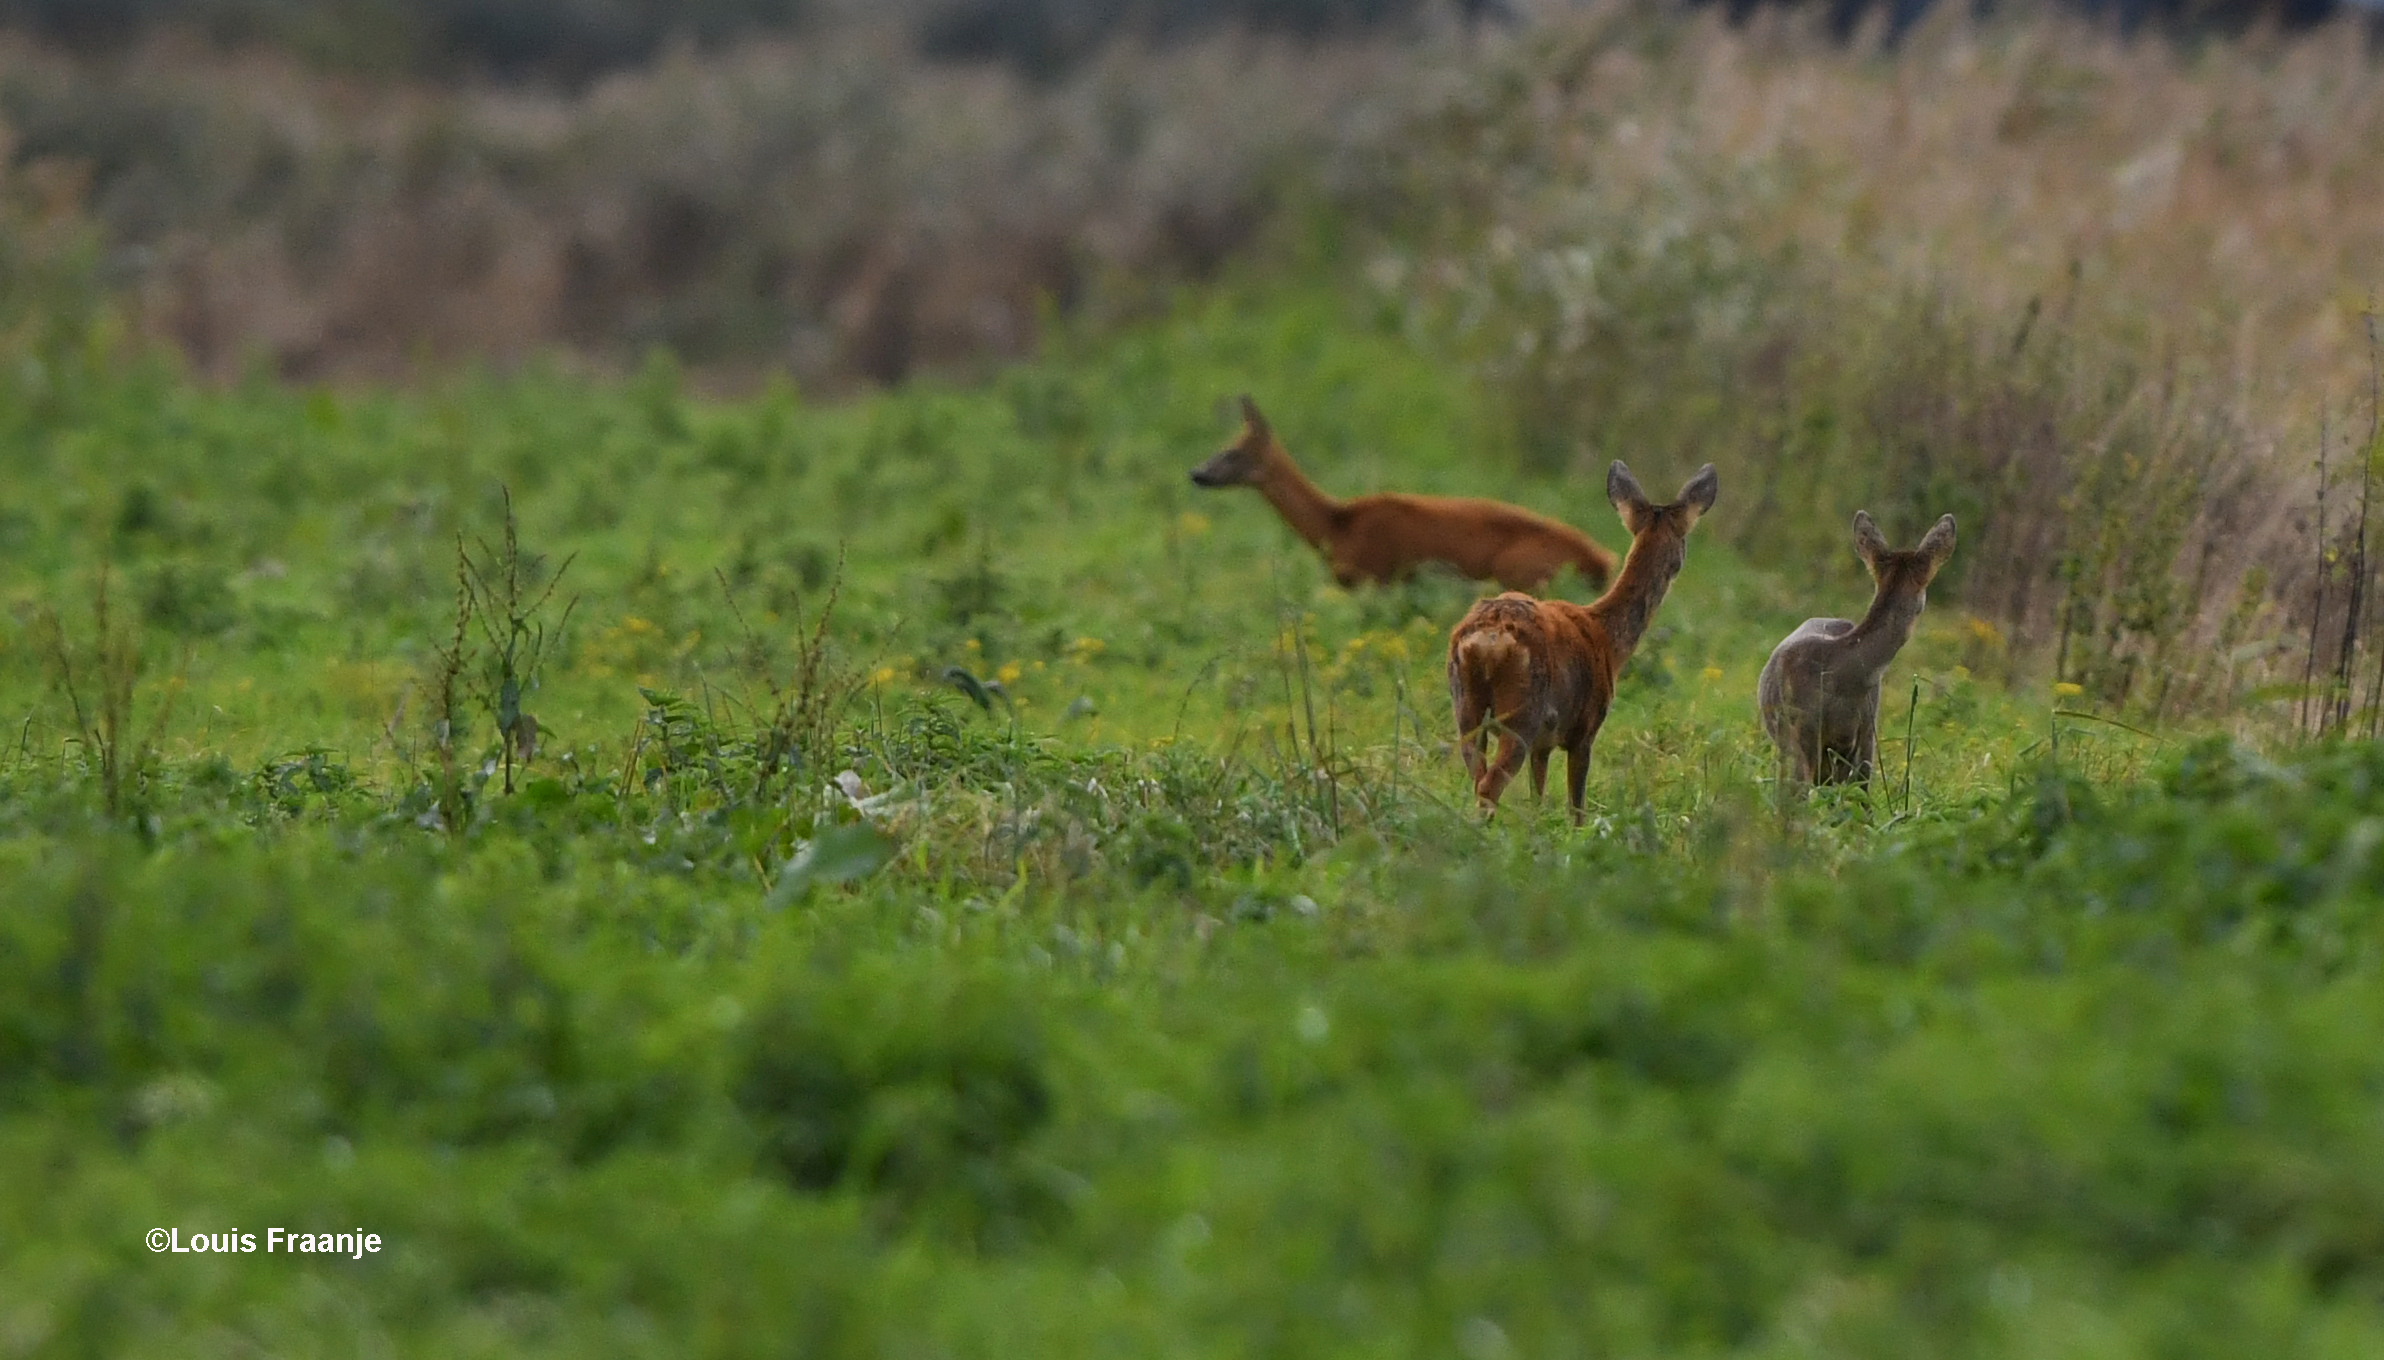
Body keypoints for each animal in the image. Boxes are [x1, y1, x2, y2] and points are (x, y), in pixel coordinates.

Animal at [1192, 388, 1621, 584]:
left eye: (1232, 453)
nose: (1196, 473)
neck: (1338, 525)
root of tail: (1601, 559)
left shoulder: (1377, 576)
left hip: (1522, 572)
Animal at [1430, 455, 1716, 820]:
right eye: (1684, 542)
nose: (1679, 565)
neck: (1608, 639)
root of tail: (1488, 639)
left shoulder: (1544, 743)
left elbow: (1537, 798)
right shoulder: (1584, 729)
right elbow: (1577, 808)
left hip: (1466, 706)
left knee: (1476, 775)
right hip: (1522, 710)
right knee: (1489, 785)